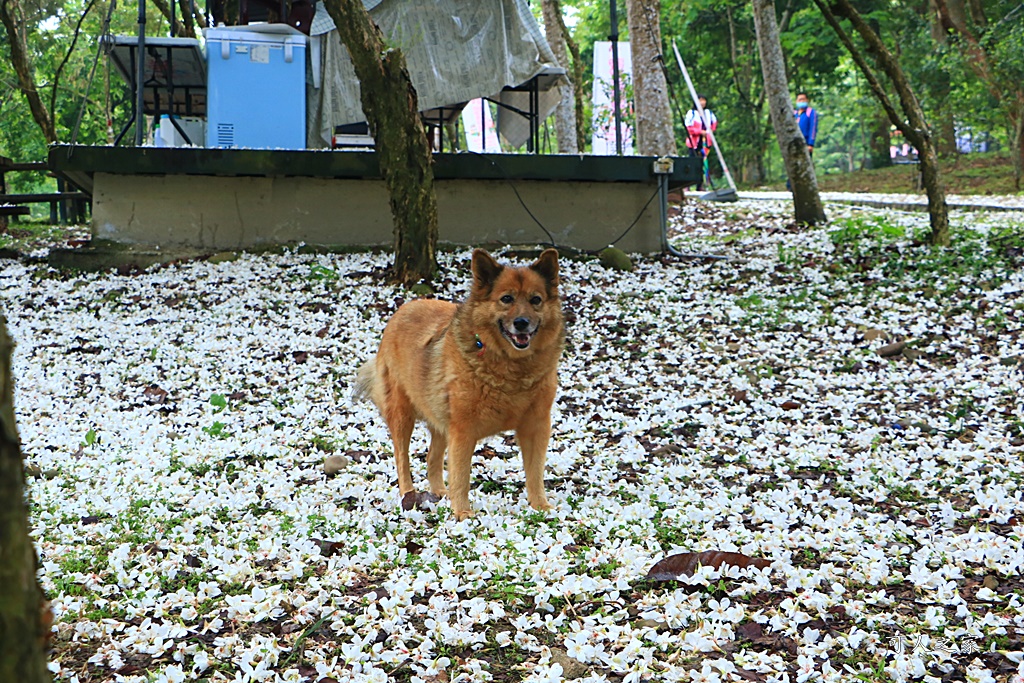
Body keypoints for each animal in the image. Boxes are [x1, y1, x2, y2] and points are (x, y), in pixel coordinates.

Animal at [356, 248, 565, 520]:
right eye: (506, 299)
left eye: (536, 300)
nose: (521, 323)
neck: (511, 368)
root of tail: (406, 307)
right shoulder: (463, 430)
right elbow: (461, 474)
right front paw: (463, 513)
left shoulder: (536, 426)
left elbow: (535, 471)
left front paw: (540, 505)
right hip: (402, 415)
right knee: (402, 458)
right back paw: (408, 495)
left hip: (440, 419)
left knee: (432, 457)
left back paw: (438, 492)